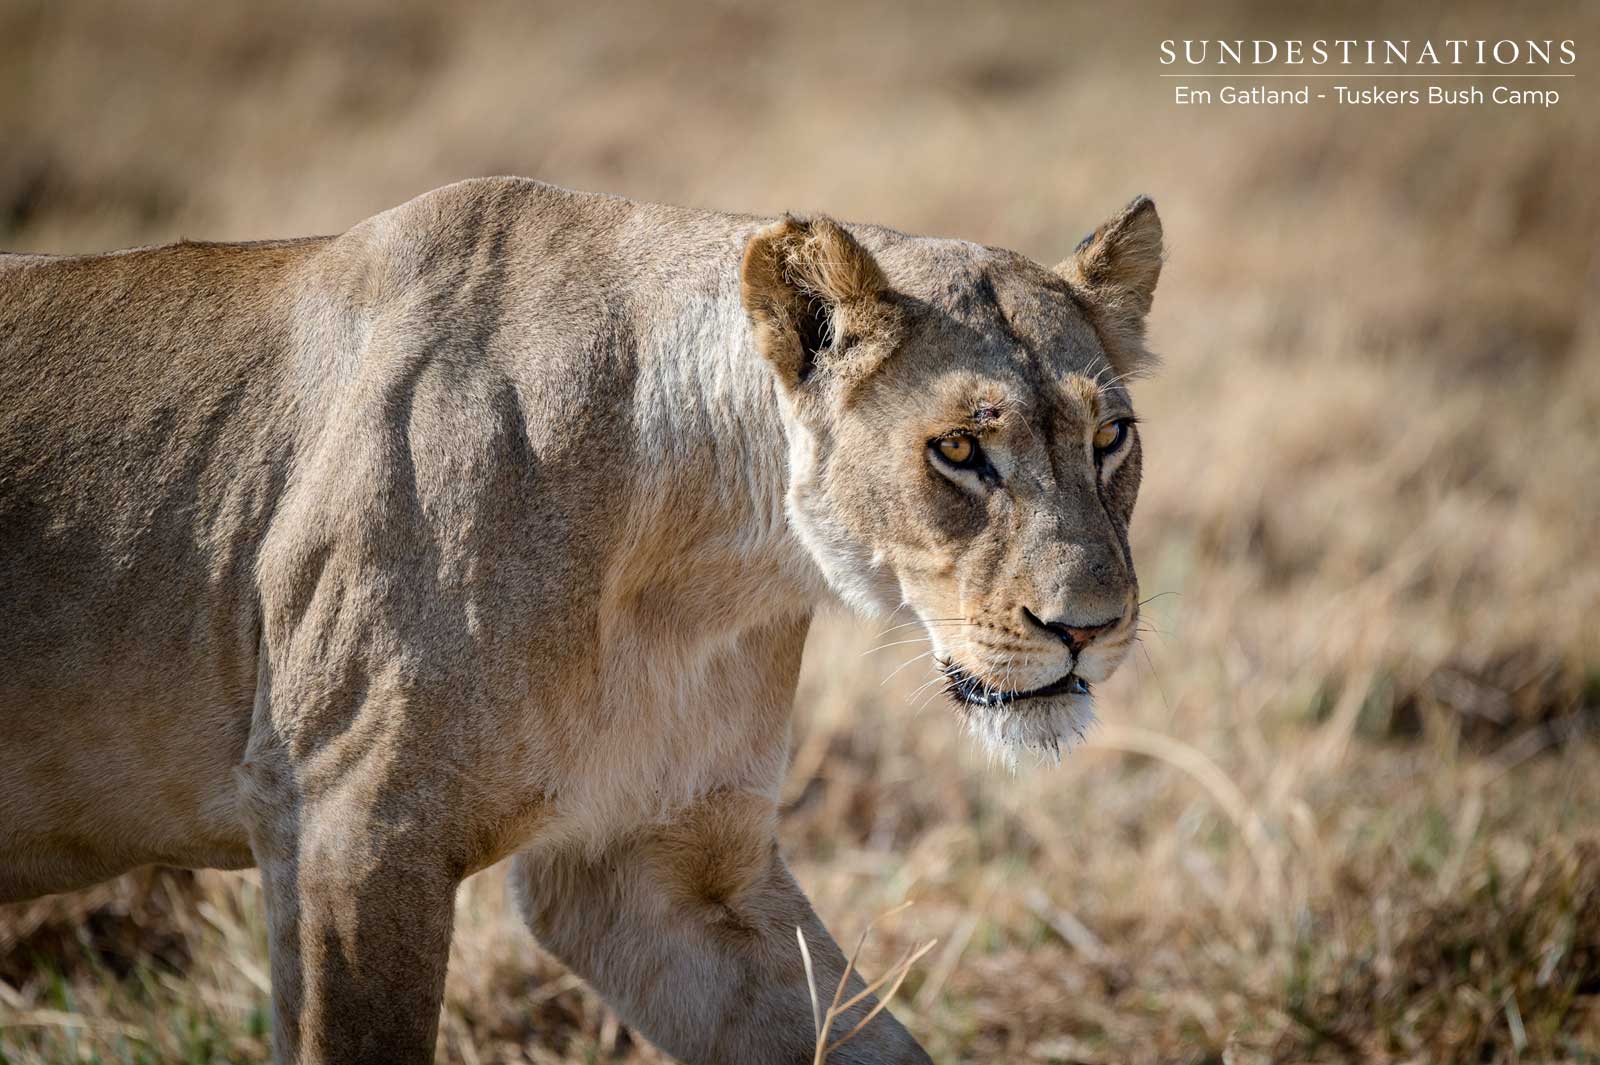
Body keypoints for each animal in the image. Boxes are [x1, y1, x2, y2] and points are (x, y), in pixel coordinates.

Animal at [0, 178, 1162, 1064]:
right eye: (958, 450)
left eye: (1110, 437)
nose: (1091, 627)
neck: (698, 566)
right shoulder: (347, 831)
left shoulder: (655, 865)